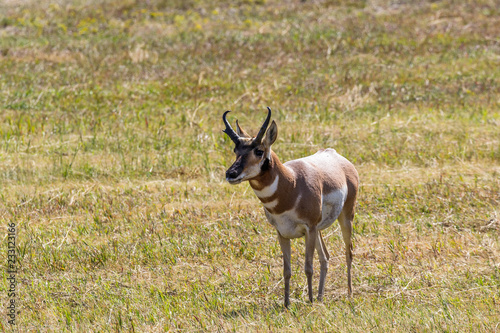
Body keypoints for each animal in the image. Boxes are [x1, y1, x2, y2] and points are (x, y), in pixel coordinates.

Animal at [223, 106, 360, 306]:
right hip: (318, 230)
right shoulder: (282, 233)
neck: (292, 183)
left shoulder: (308, 229)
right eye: (235, 149)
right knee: (325, 257)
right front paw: (287, 303)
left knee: (348, 251)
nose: (231, 173)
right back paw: (320, 296)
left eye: (259, 151)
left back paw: (348, 293)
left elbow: (308, 267)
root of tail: (336, 156)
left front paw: (309, 301)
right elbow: (286, 270)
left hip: (345, 217)